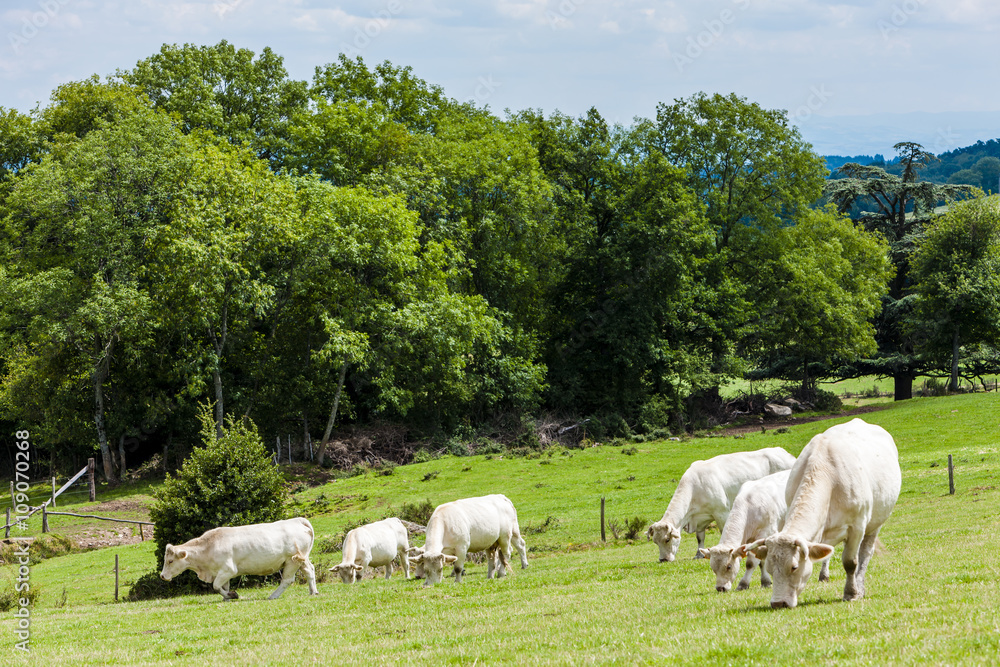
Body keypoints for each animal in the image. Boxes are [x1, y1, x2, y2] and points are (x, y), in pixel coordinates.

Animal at [159, 517, 319, 600]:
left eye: (170, 561)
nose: (162, 576)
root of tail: (297, 520)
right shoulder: (222, 572)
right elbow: (222, 587)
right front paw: (227, 597)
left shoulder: (228, 570)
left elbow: (216, 586)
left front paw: (232, 595)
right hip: (302, 559)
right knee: (310, 571)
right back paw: (313, 592)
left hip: (292, 560)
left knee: (287, 580)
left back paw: (273, 596)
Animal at [647, 447, 796, 562]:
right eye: (655, 541)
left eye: (667, 539)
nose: (663, 559)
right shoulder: (700, 518)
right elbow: (699, 537)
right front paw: (698, 554)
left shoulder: (721, 512)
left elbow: (723, 530)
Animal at [698, 470, 832, 592]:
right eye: (713, 568)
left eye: (729, 566)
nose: (720, 588)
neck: (750, 505)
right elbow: (761, 561)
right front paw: (766, 581)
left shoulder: (766, 533)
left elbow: (751, 563)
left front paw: (743, 584)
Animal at [745, 418, 901, 609]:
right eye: (770, 568)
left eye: (794, 567)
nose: (778, 603)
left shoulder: (857, 526)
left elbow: (850, 562)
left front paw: (851, 593)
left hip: (875, 523)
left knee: (865, 553)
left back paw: (860, 586)